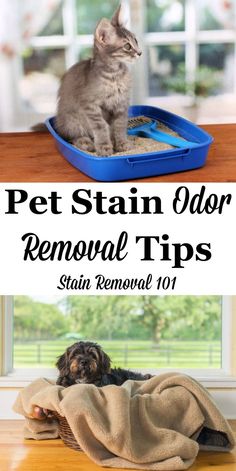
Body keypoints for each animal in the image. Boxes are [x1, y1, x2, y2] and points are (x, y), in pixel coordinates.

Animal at [55, 4, 142, 157]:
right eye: (127, 46)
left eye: (136, 41)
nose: (139, 52)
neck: (114, 75)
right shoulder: (90, 105)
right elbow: (101, 126)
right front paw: (104, 147)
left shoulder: (121, 104)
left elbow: (119, 126)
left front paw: (122, 144)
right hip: (72, 120)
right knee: (71, 136)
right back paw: (85, 142)